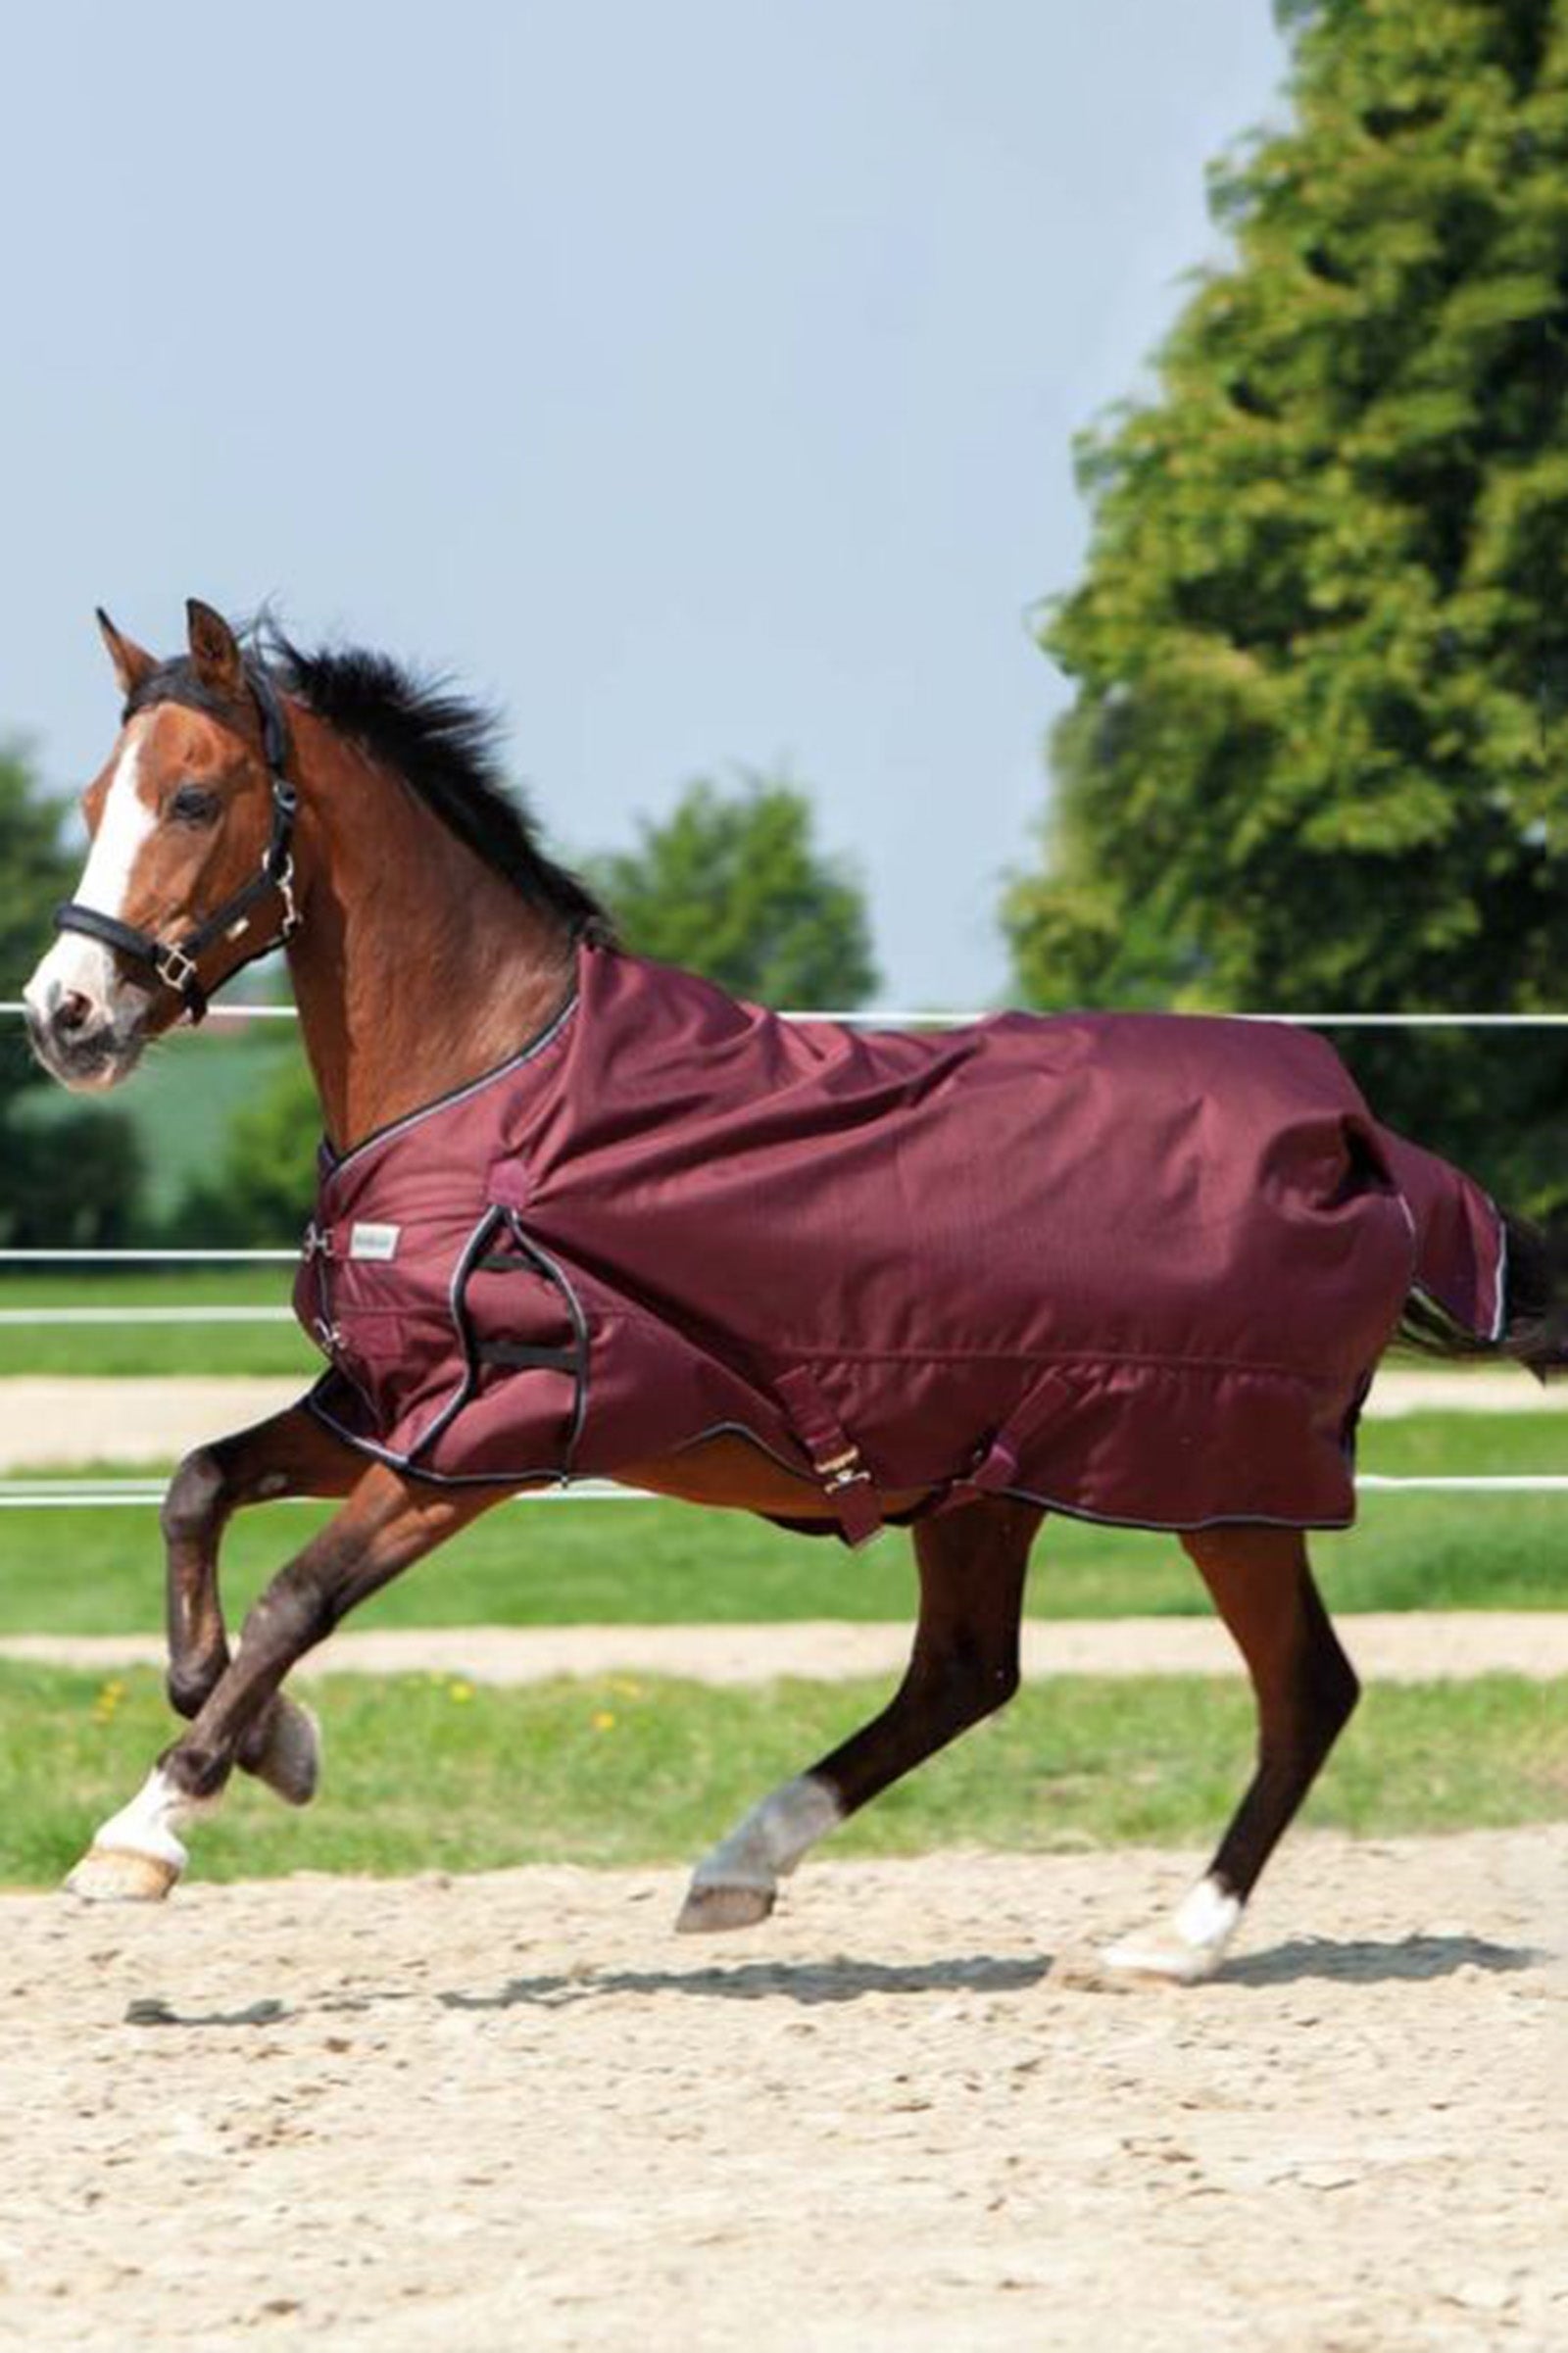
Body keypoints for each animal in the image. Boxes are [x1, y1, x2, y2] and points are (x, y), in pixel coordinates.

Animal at [21, 598, 1559, 1985]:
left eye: (194, 797)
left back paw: (1169, 1943)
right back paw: (740, 1866)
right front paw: (271, 1742)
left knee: (1303, 1689)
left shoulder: (493, 1431)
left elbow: (297, 1593)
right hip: (988, 1478)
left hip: (1216, 1483)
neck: (493, 1081)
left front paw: (147, 1826)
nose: (63, 1016)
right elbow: (197, 1486)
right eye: (96, 798)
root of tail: (1356, 1138)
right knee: (967, 1673)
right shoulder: (388, 1401)